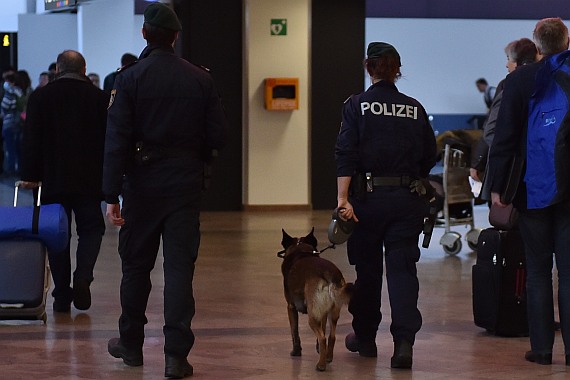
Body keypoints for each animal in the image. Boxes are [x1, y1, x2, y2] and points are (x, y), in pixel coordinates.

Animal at [278, 229, 352, 372]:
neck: (300, 249)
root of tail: (328, 273)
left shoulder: (290, 307)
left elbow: (294, 332)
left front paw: (296, 351)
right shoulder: (323, 312)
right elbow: (322, 330)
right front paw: (319, 350)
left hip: (312, 316)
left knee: (322, 338)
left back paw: (321, 365)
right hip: (333, 312)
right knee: (331, 336)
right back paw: (328, 357)